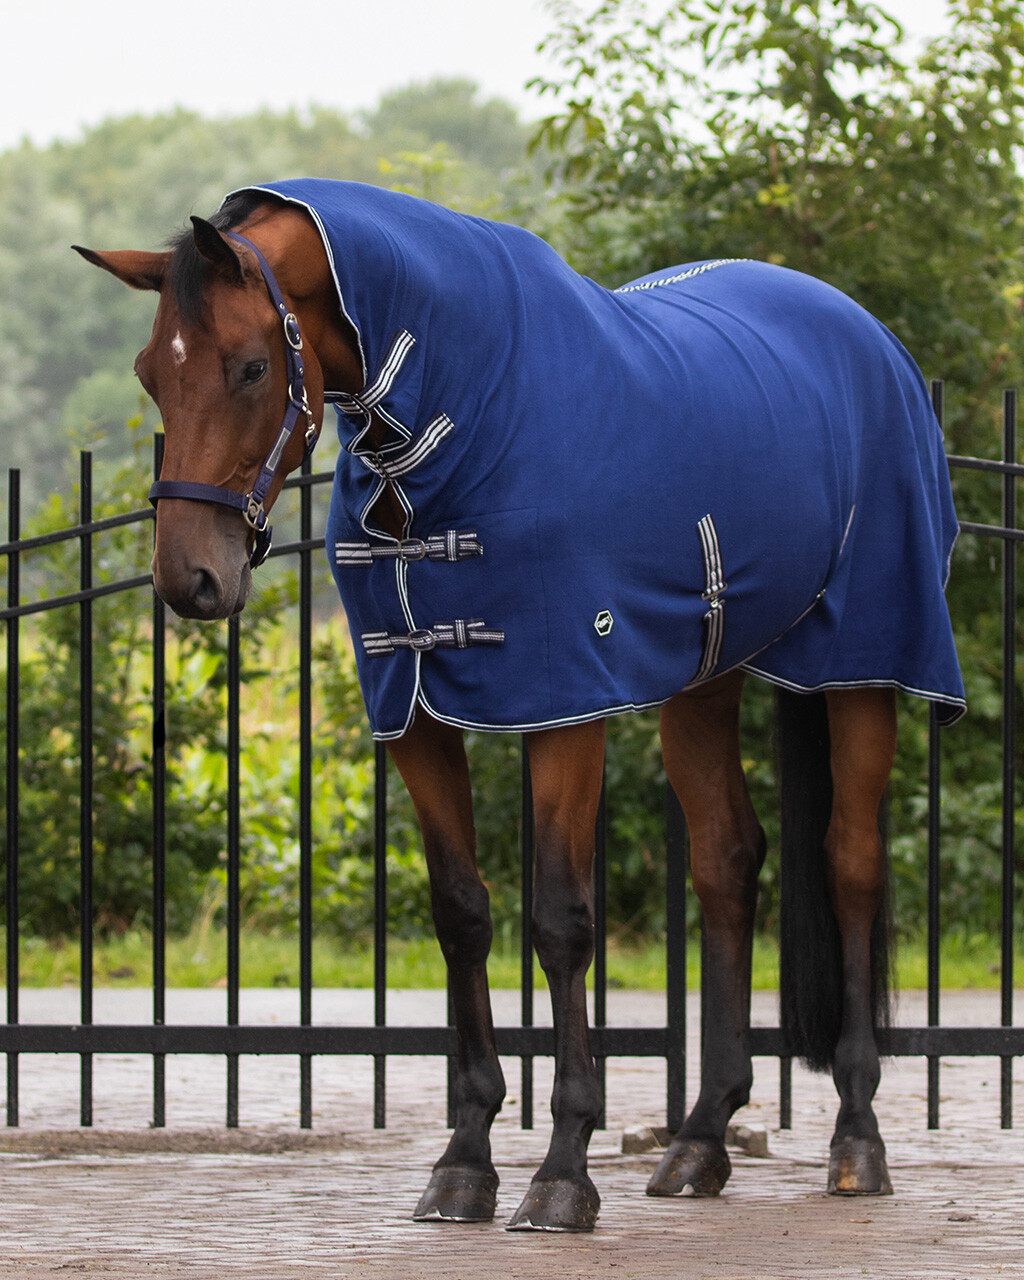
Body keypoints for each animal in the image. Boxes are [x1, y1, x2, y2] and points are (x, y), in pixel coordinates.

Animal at [74, 178, 964, 1233]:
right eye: (150, 374)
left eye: (251, 367)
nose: (190, 580)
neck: (458, 413)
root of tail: (865, 336)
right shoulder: (412, 712)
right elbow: (462, 913)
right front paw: (464, 1158)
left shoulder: (563, 699)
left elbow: (560, 922)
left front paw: (563, 1170)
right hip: (704, 674)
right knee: (725, 862)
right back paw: (701, 1139)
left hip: (867, 662)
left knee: (851, 864)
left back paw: (857, 1140)